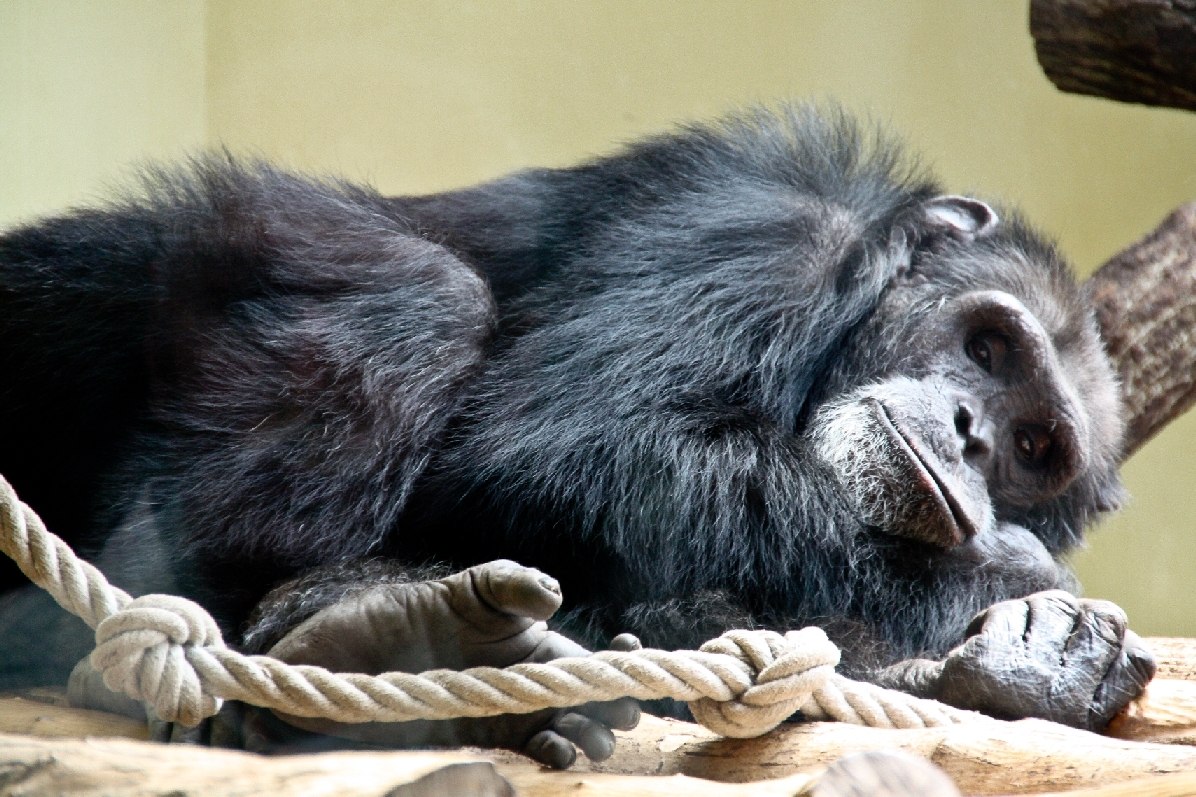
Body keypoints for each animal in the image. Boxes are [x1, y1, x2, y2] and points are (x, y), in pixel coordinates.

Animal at [0, 105, 1157, 765]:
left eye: (1034, 445)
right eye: (987, 345)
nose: (968, 431)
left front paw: (1021, 663)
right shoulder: (766, 235)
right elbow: (573, 442)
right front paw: (1008, 577)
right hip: (81, 295)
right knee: (415, 292)